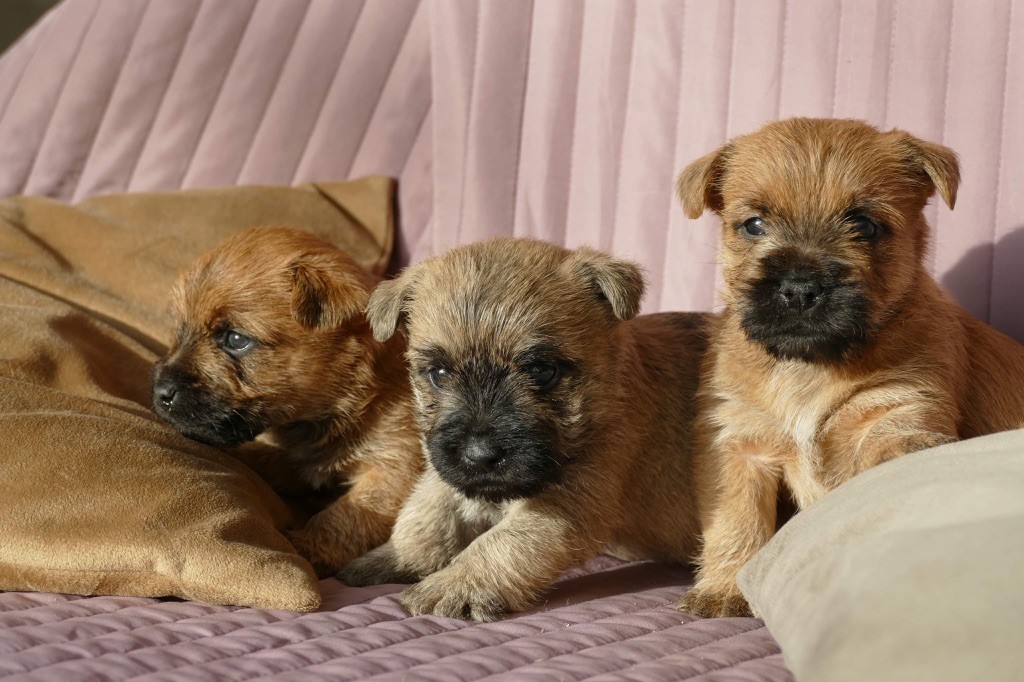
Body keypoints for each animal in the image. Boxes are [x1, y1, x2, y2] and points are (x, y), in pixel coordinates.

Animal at [149, 228, 421, 573]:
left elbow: (348, 515)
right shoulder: (301, 461)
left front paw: (306, 547)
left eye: (235, 339)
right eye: (181, 329)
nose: (160, 392)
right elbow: (270, 461)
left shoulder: (394, 468)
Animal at [339, 237, 708, 622]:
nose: (479, 455)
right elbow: (427, 516)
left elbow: (503, 543)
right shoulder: (447, 473)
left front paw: (454, 584)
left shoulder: (567, 504)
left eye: (542, 371)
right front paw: (395, 556)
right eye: (438, 374)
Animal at [675, 116, 1024, 614]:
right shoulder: (740, 446)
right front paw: (722, 589)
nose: (799, 289)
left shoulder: (897, 413)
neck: (812, 364)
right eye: (754, 225)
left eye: (864, 225)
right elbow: (735, 521)